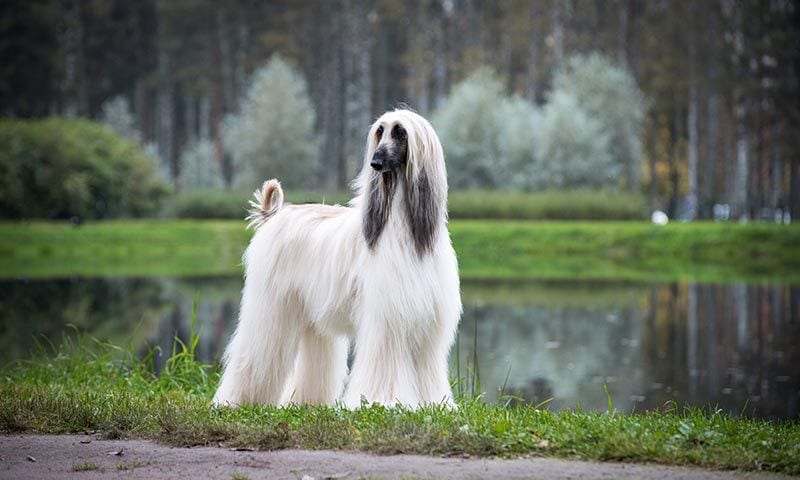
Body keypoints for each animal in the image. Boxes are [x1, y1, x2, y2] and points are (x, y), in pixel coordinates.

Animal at [212, 109, 462, 408]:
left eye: (400, 132)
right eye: (379, 131)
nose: (375, 162)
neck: (403, 227)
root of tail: (275, 214)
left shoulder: (427, 325)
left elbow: (426, 370)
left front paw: (434, 404)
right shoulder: (386, 319)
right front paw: (385, 402)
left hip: (310, 312)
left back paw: (308, 402)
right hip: (270, 307)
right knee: (255, 352)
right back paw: (238, 400)